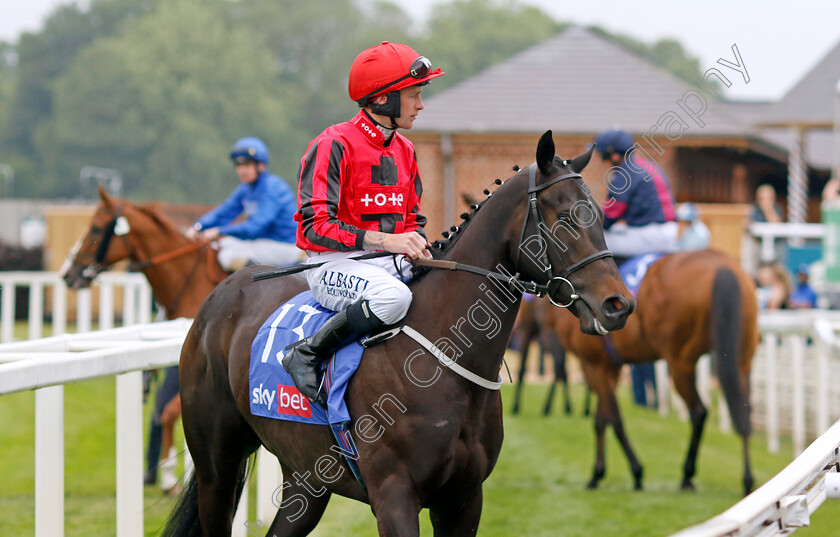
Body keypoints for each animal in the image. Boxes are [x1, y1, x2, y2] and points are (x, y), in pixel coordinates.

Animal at [60, 185, 228, 490]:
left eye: (96, 228)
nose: (67, 273)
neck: (192, 285)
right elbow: (162, 411)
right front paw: (165, 472)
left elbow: (170, 411)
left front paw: (170, 475)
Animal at [162, 131, 636, 536]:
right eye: (565, 216)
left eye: (598, 215)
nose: (618, 304)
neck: (446, 360)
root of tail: (223, 291)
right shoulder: (394, 496)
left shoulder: (464, 499)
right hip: (218, 469)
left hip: (305, 479)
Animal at [548, 248, 756, 494]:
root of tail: (719, 263)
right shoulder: (610, 367)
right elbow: (602, 419)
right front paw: (599, 474)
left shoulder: (592, 364)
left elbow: (613, 418)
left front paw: (633, 472)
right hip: (742, 360)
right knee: (743, 411)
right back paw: (748, 480)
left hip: (679, 362)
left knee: (698, 411)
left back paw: (687, 475)